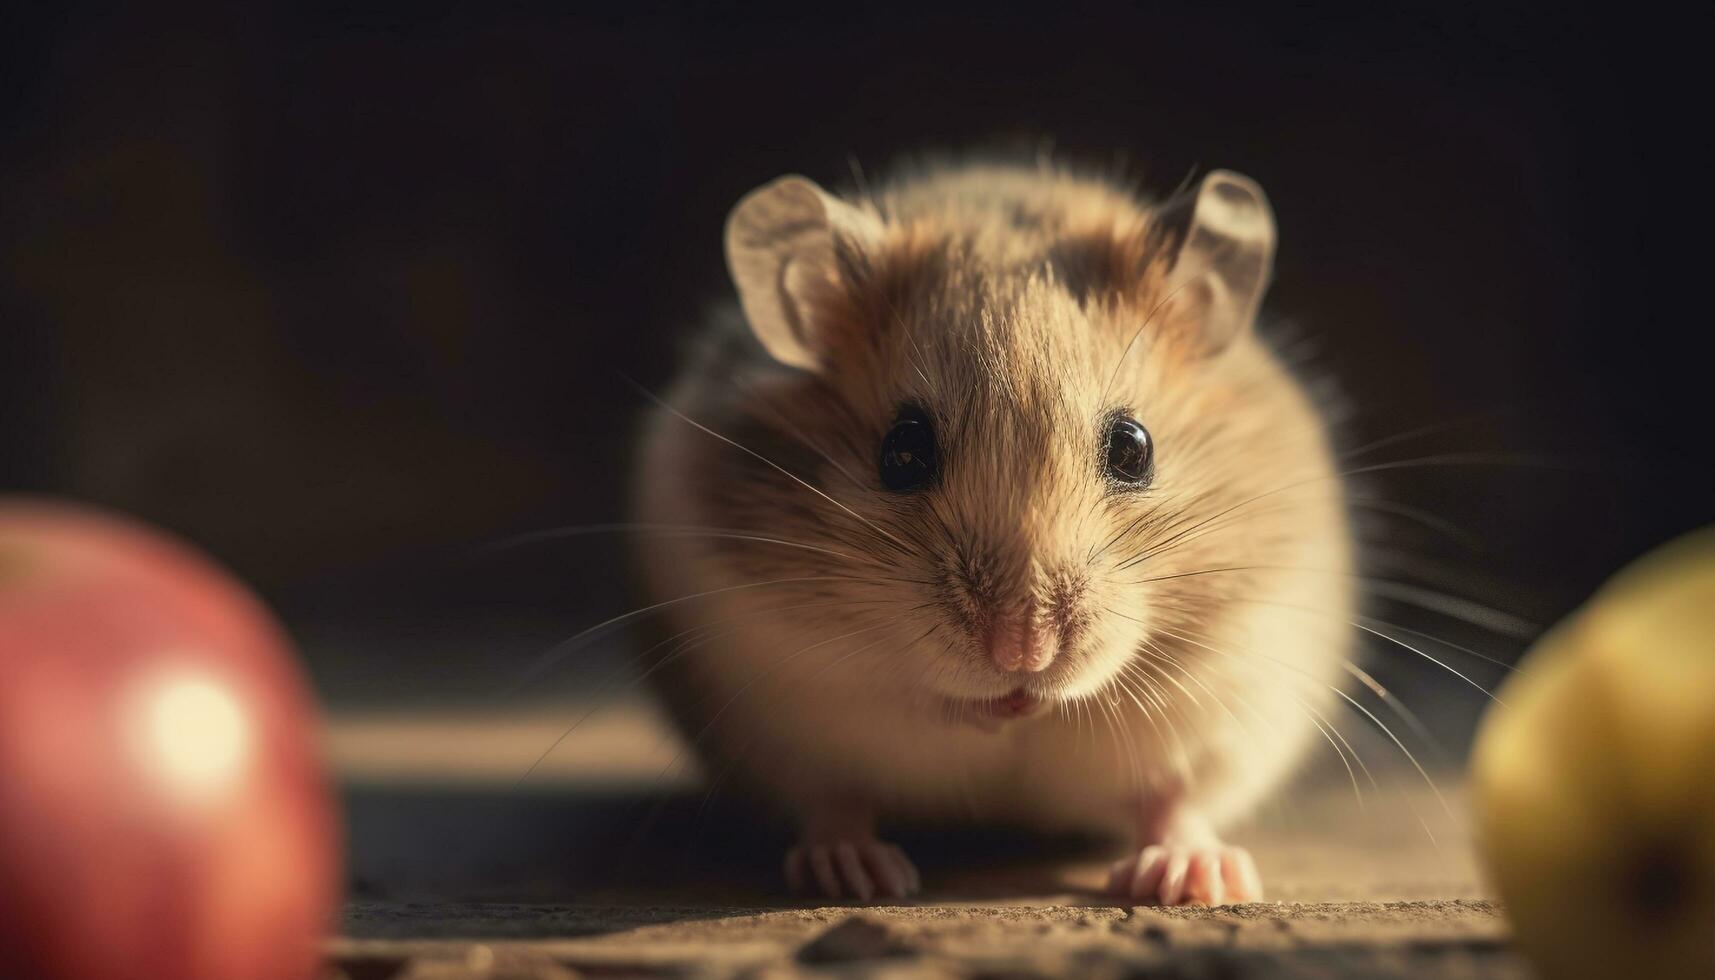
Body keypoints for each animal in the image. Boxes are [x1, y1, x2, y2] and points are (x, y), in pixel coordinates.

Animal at [631, 161, 1351, 906]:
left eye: (1134, 448)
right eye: (902, 451)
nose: (1021, 653)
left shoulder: (1234, 666)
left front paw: (1043, 708)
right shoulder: (793, 656)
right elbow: (914, 691)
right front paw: (999, 711)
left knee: (1170, 805)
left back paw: (1194, 877)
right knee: (835, 801)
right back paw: (855, 873)